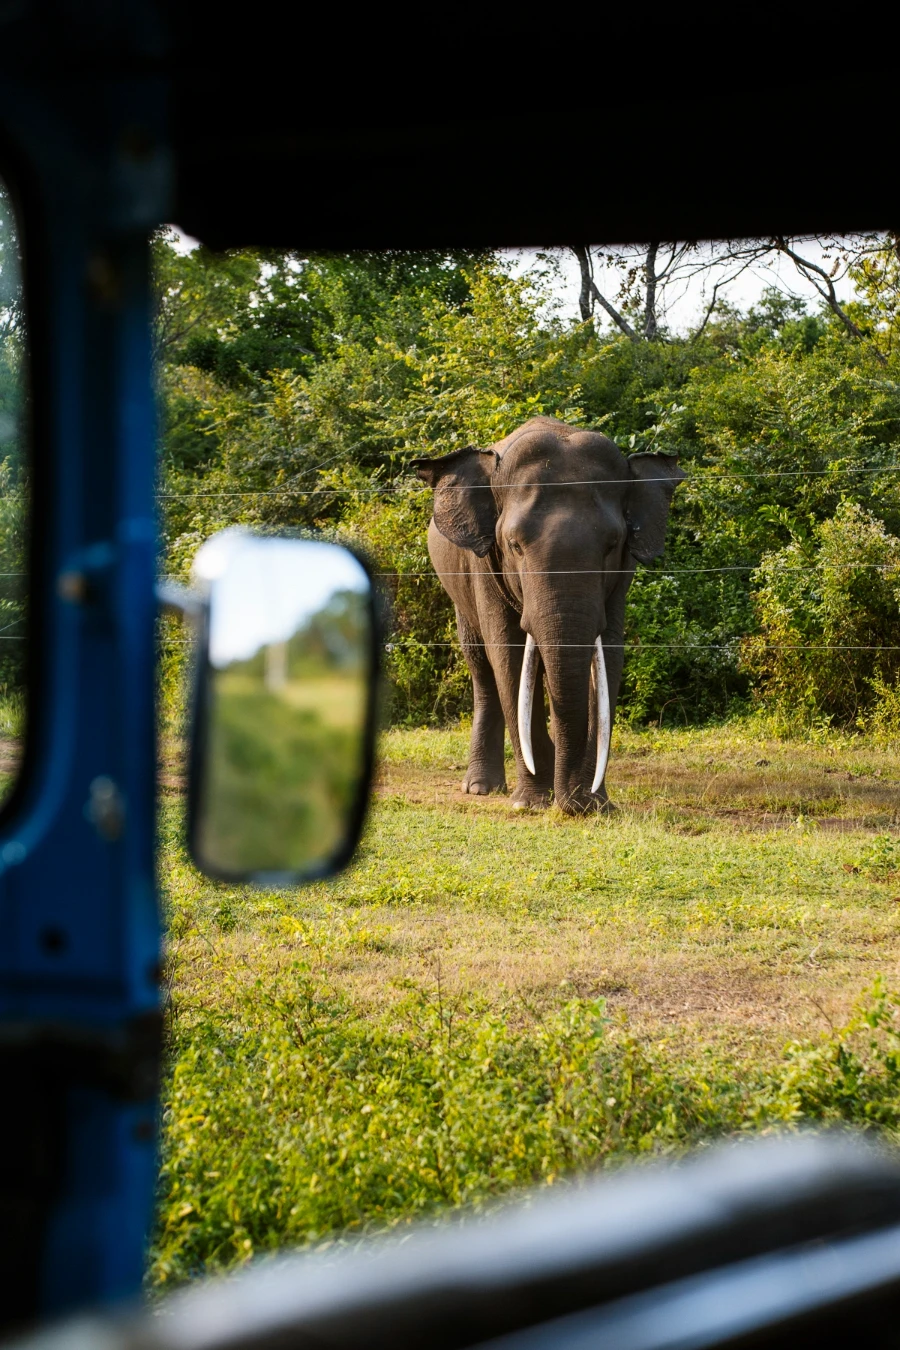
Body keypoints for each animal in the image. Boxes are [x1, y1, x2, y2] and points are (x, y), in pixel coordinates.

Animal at [413, 417, 685, 814]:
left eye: (612, 544)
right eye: (514, 545)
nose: (572, 805)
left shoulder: (622, 576)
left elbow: (608, 655)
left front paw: (592, 804)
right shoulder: (485, 567)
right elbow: (508, 656)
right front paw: (532, 803)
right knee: (481, 666)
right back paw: (481, 788)